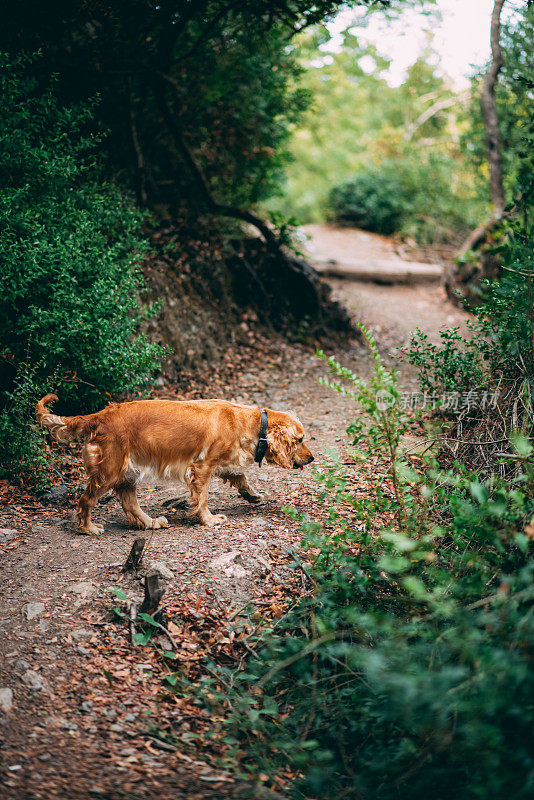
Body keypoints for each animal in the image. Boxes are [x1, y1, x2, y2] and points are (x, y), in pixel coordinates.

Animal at [34, 392, 314, 536]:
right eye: (300, 440)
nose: (312, 458)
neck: (251, 422)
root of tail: (100, 415)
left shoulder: (218, 462)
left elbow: (239, 476)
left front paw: (251, 495)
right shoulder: (201, 467)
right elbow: (202, 498)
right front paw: (208, 519)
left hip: (128, 473)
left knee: (130, 503)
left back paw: (150, 523)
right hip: (109, 471)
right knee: (85, 501)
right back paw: (88, 528)